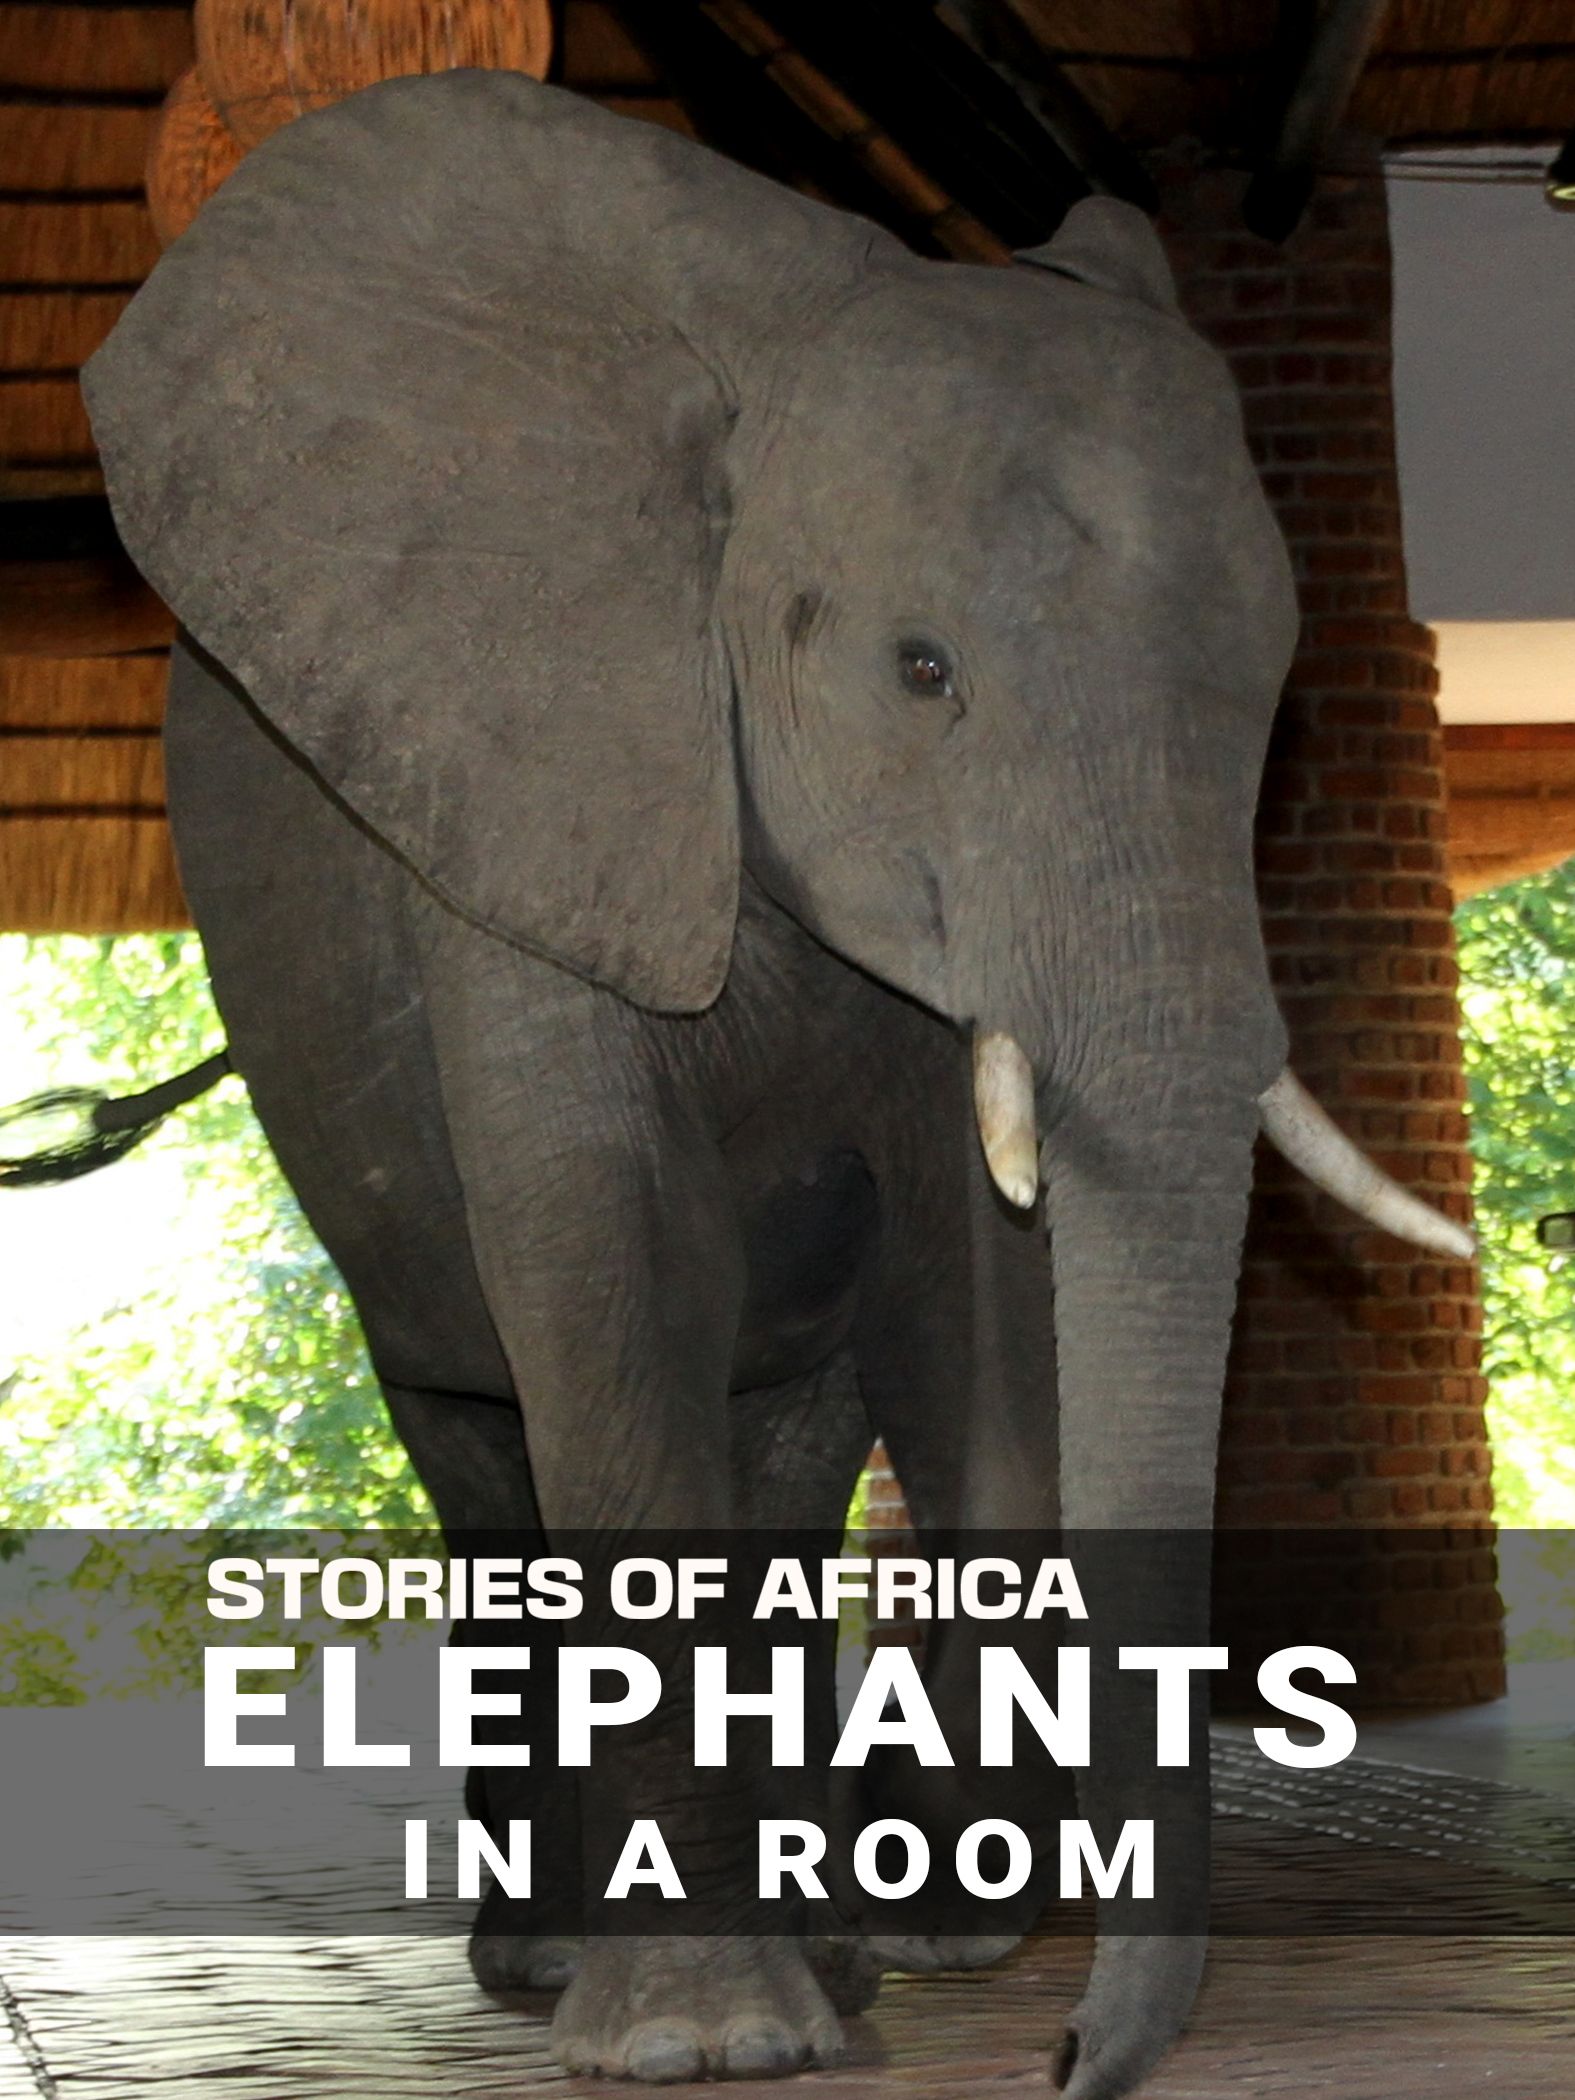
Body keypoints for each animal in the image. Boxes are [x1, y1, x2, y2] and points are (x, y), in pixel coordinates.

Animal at [81, 67, 1472, 2098]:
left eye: (1273, 709)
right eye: (920, 670)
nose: (1072, 2062)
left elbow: (980, 1307)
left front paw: (932, 1947)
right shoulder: (527, 794)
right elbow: (614, 1271)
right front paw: (707, 2045)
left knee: (791, 1458)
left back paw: (825, 1960)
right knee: (481, 1451)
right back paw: (557, 1963)